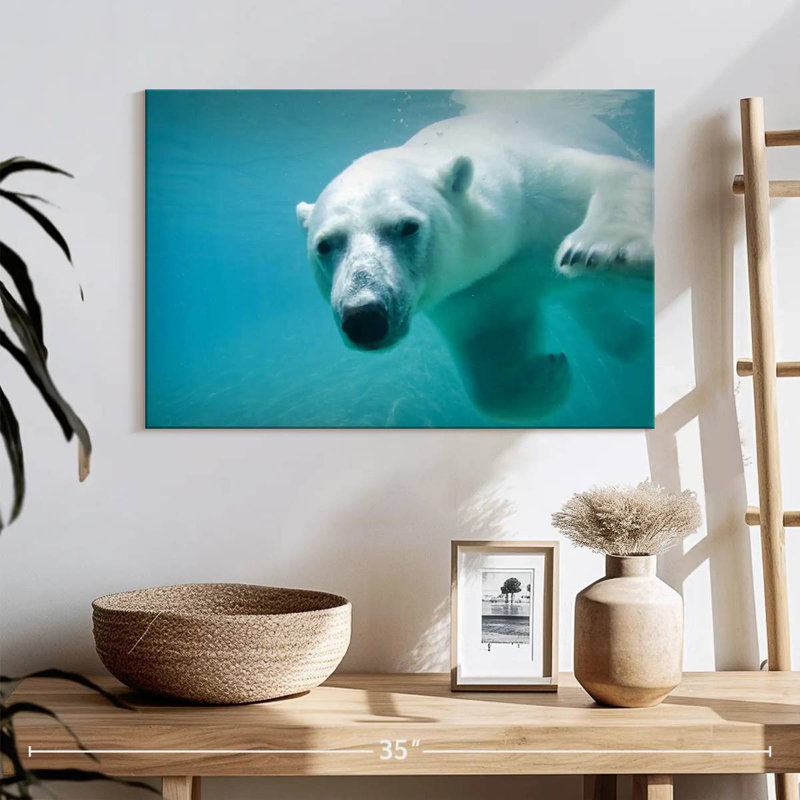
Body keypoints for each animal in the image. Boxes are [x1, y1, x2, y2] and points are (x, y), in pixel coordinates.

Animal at [296, 109, 653, 424]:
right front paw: (549, 374)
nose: (364, 317)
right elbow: (490, 356)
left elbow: (614, 176)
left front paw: (601, 249)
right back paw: (631, 338)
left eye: (407, 227)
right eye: (325, 245)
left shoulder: (538, 187)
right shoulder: (479, 289)